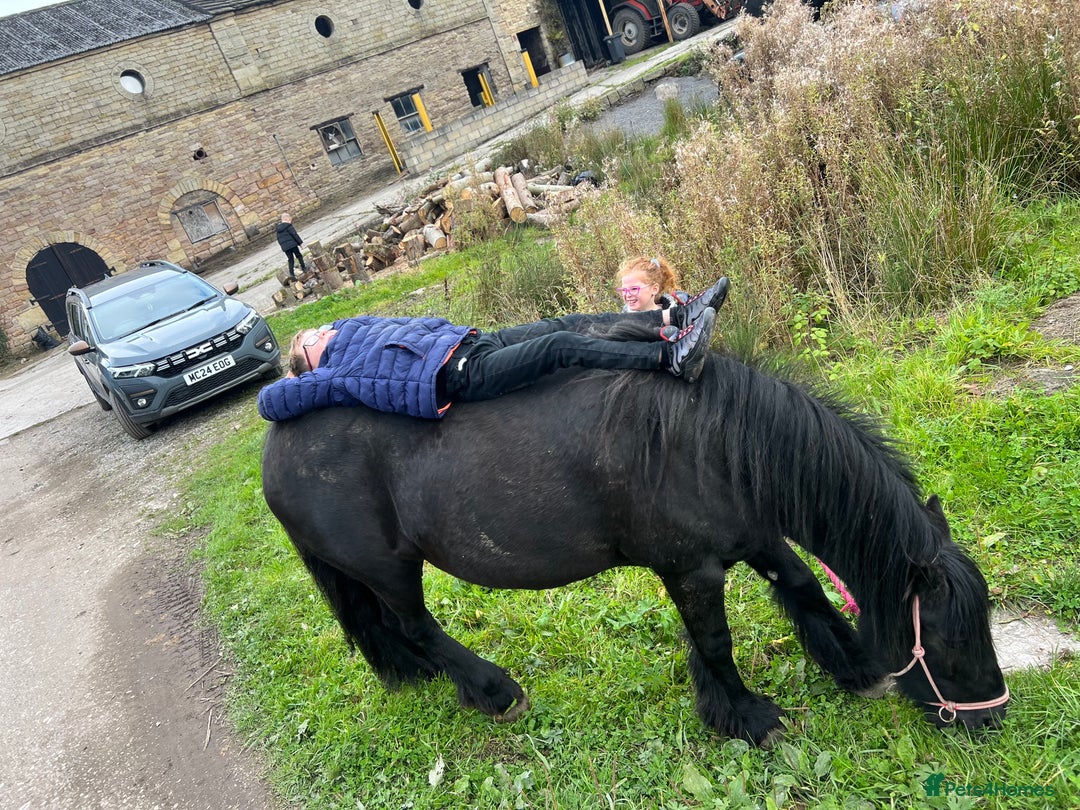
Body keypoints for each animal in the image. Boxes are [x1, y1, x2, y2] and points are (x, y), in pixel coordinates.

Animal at [261, 353, 1009, 746]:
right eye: (946, 642)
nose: (994, 716)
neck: (712, 442)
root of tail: (275, 445)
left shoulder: (755, 535)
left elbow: (802, 587)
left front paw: (852, 665)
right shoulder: (691, 570)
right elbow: (716, 644)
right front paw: (746, 714)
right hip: (389, 568)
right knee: (417, 627)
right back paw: (494, 691)